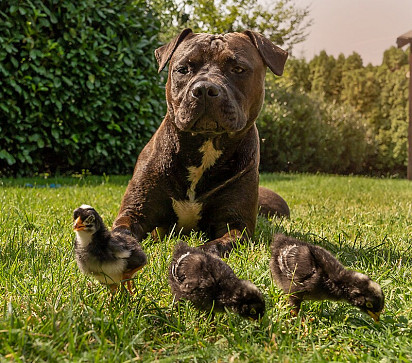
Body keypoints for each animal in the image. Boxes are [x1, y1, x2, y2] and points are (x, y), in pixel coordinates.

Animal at [111, 29, 288, 256]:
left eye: (238, 69)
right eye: (183, 69)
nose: (204, 88)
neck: (206, 143)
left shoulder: (236, 225)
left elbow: (213, 246)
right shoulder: (134, 212)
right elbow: (120, 235)